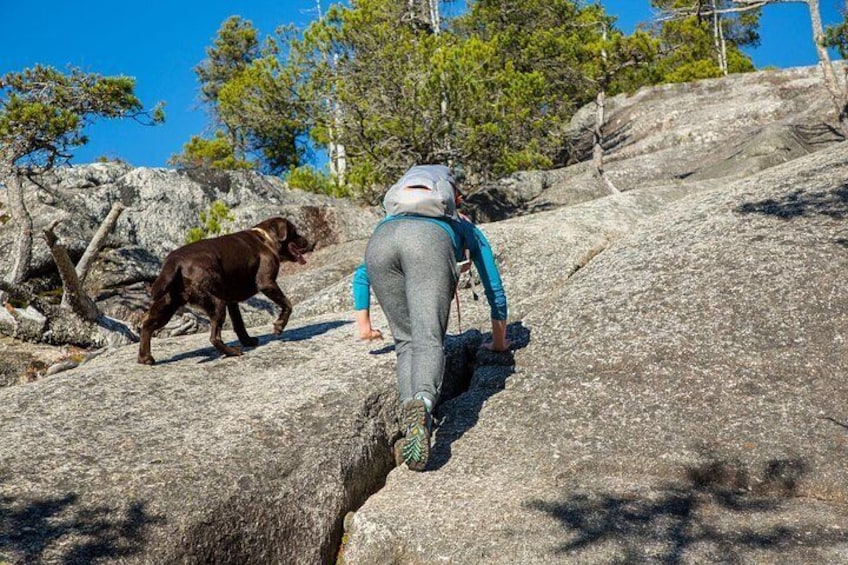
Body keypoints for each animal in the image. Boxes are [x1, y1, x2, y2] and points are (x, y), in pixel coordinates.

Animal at [137, 214, 310, 364]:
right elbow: (287, 304)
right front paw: (279, 326)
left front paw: (248, 340)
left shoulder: (231, 300)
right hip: (216, 304)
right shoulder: (266, 283)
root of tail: (174, 261)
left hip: (167, 305)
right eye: (295, 231)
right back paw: (232, 352)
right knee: (214, 337)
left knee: (147, 325)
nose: (307, 241)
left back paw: (145, 358)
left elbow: (239, 324)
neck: (266, 238)